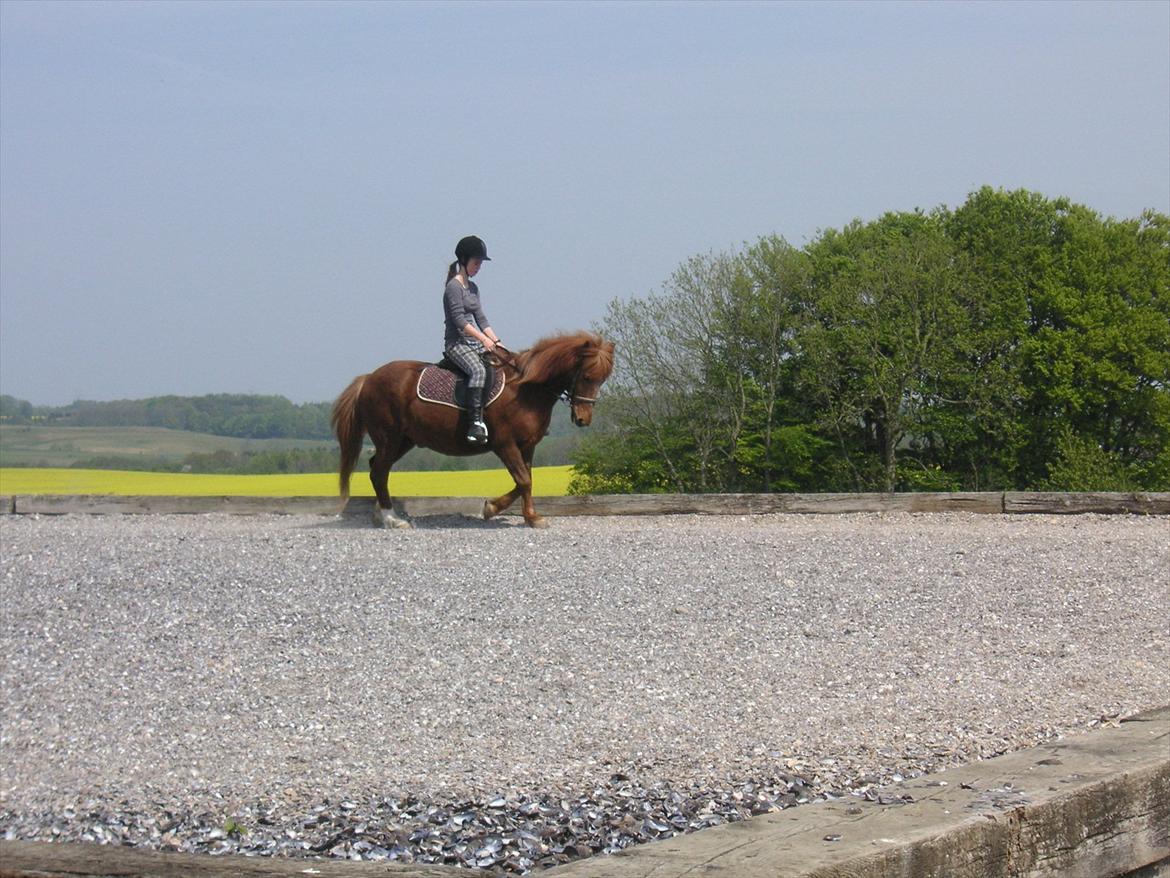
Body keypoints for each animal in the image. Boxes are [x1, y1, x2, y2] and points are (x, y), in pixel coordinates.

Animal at [329, 332, 617, 529]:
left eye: (603, 379)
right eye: (587, 377)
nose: (583, 419)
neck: (526, 389)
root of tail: (369, 378)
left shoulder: (527, 445)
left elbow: (526, 480)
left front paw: (518, 513)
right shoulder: (505, 444)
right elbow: (523, 480)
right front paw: (506, 512)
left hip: (403, 441)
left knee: (378, 469)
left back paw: (381, 514)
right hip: (389, 437)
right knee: (379, 472)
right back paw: (393, 519)